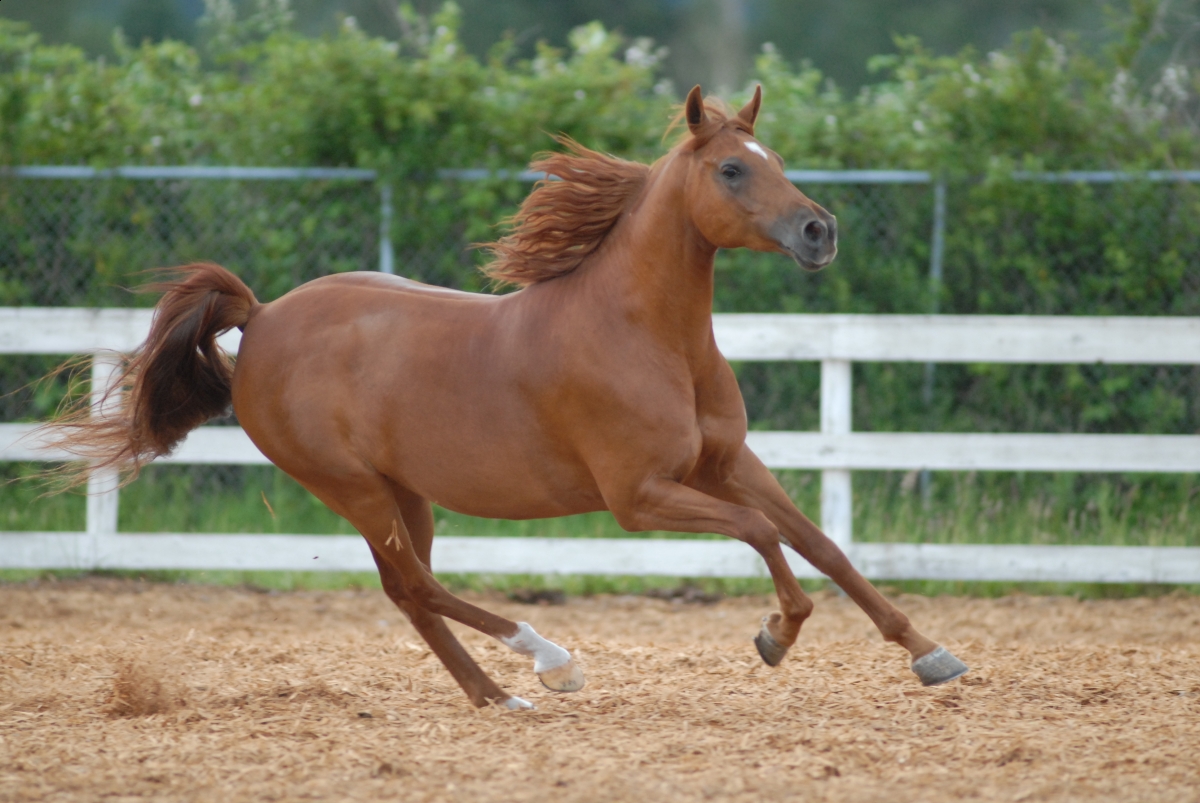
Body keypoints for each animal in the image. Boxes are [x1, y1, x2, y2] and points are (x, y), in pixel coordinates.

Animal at [43, 85, 967, 709]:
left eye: (776, 162)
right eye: (734, 168)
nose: (820, 231)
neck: (646, 335)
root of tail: (262, 317)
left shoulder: (729, 461)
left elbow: (824, 544)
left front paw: (931, 652)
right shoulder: (641, 496)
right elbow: (765, 536)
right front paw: (776, 634)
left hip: (403, 492)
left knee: (408, 591)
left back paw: (498, 693)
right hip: (352, 487)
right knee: (418, 585)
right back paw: (549, 661)